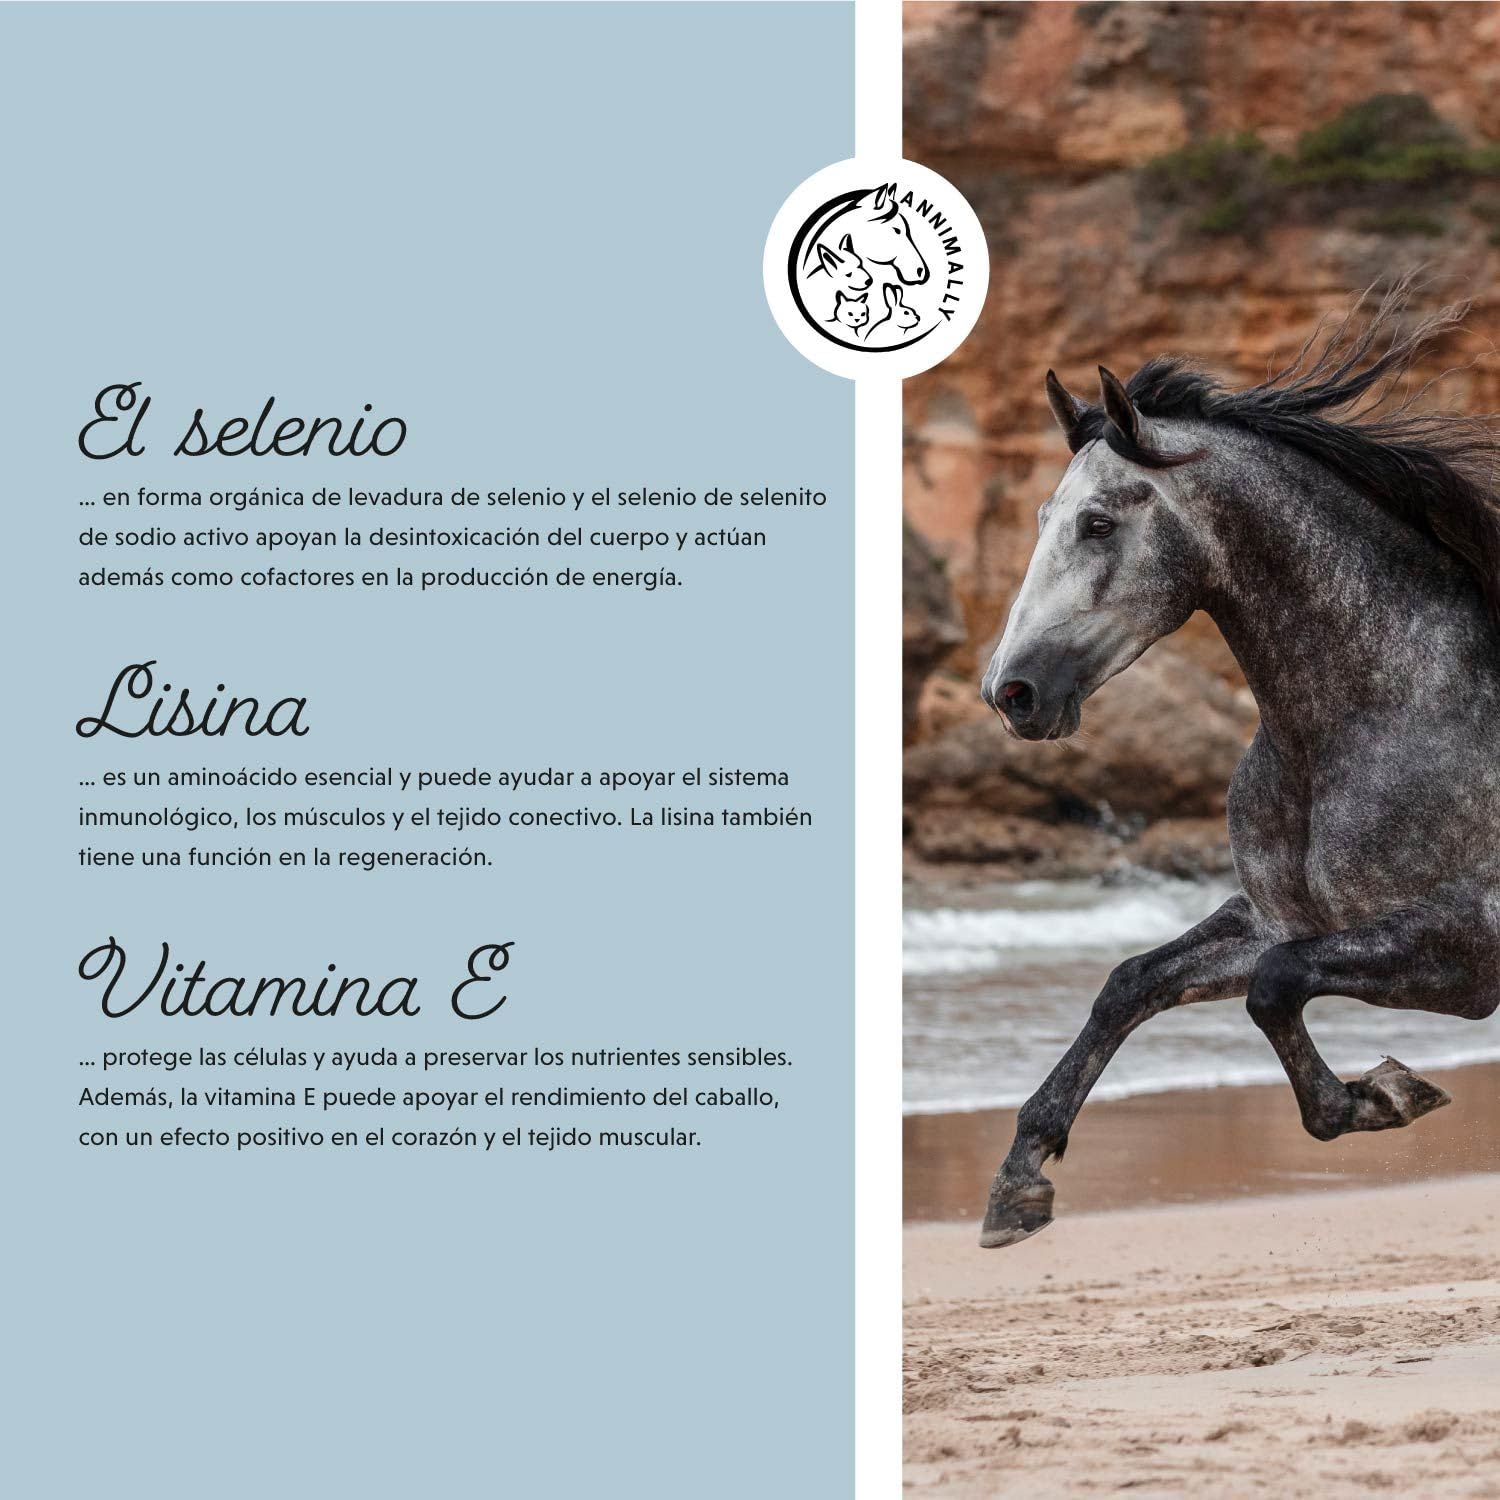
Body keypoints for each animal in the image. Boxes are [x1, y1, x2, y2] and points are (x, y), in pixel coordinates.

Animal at [975, 280, 1500, 1249]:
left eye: (1097, 523)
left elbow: (1273, 988)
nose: (1011, 692)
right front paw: (1019, 1182)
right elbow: (1132, 983)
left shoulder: (1470, 946)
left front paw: (1386, 1095)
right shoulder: (1281, 918)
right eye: (1039, 521)